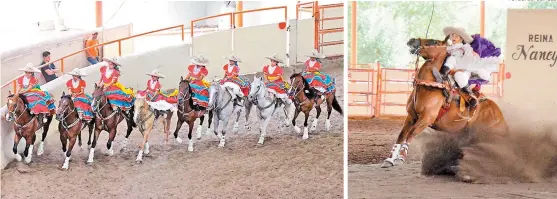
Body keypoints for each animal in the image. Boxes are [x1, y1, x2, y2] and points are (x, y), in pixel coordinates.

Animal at [380, 37, 506, 173]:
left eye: (433, 42)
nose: (412, 40)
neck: (428, 87)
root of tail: (497, 111)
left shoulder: (426, 118)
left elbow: (411, 134)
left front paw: (401, 157)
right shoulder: (411, 117)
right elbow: (401, 135)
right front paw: (389, 159)